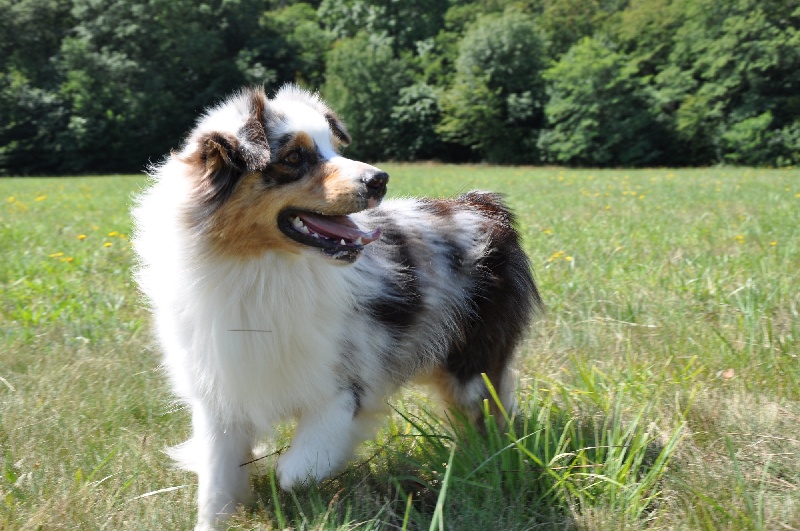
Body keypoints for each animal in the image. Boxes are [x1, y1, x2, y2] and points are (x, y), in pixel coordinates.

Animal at [132, 85, 540, 530]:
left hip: (471, 362)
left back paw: (483, 465)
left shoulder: (345, 382)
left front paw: (293, 480)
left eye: (333, 146)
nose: (380, 179)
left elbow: (300, 465)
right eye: (294, 157)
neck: (260, 271)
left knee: (487, 413)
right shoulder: (221, 390)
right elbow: (217, 482)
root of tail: (481, 206)